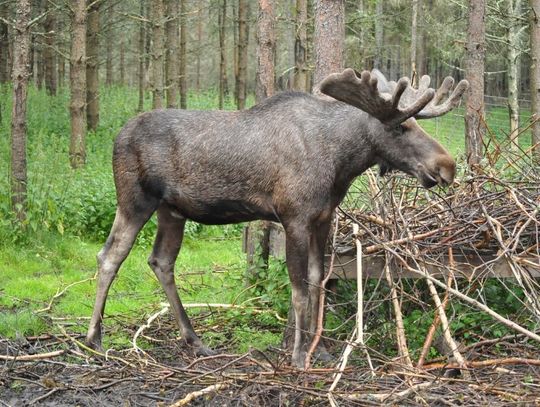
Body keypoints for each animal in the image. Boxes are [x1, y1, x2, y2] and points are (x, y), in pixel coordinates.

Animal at [85, 68, 468, 368]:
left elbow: (318, 280)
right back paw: (94, 338)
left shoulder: (322, 217)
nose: (446, 166)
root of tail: (117, 136)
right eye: (401, 127)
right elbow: (298, 290)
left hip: (172, 210)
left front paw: (321, 350)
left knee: (161, 261)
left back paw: (194, 340)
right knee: (110, 256)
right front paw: (298, 356)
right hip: (135, 200)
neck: (341, 163)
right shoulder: (294, 216)